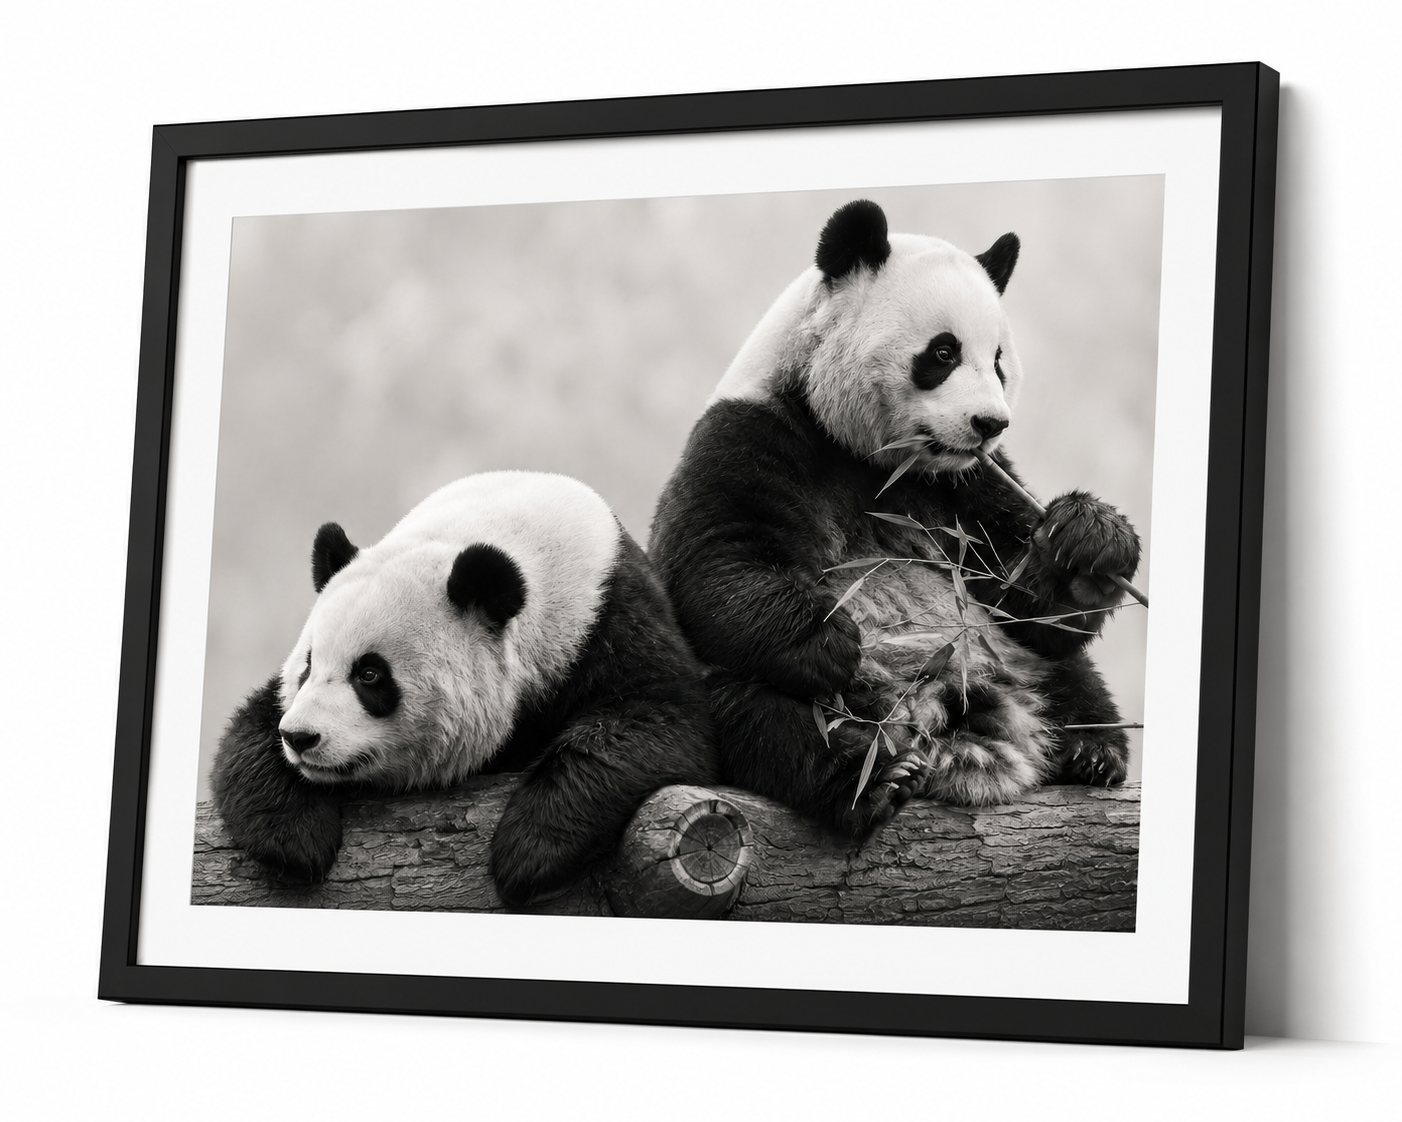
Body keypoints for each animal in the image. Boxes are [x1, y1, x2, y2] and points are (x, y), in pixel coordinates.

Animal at [212, 470, 717, 905]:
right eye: (308, 666)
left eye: (369, 675)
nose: (300, 737)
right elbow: (252, 727)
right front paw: (294, 839)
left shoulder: (608, 623)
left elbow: (657, 720)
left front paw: (528, 852)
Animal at [649, 199, 1141, 835]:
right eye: (943, 352)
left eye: (999, 362)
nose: (990, 423)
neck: (872, 457)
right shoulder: (752, 434)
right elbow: (715, 564)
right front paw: (828, 635)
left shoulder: (964, 484)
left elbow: (1026, 598)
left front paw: (1091, 541)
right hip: (790, 700)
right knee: (757, 712)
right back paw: (874, 776)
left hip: (1012, 661)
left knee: (1067, 673)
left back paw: (1091, 751)